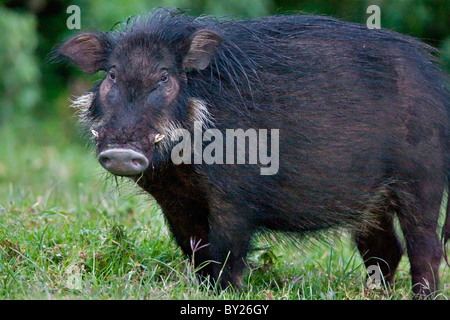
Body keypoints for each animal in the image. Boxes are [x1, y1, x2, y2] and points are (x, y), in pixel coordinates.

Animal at [56, 8, 450, 298]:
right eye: (112, 74)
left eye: (165, 77)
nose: (122, 150)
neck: (181, 165)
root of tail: (439, 86)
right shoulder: (175, 201)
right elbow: (196, 251)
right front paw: (204, 290)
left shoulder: (235, 200)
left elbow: (227, 254)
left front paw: (226, 293)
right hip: (371, 204)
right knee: (386, 249)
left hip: (421, 184)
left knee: (425, 248)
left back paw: (422, 295)